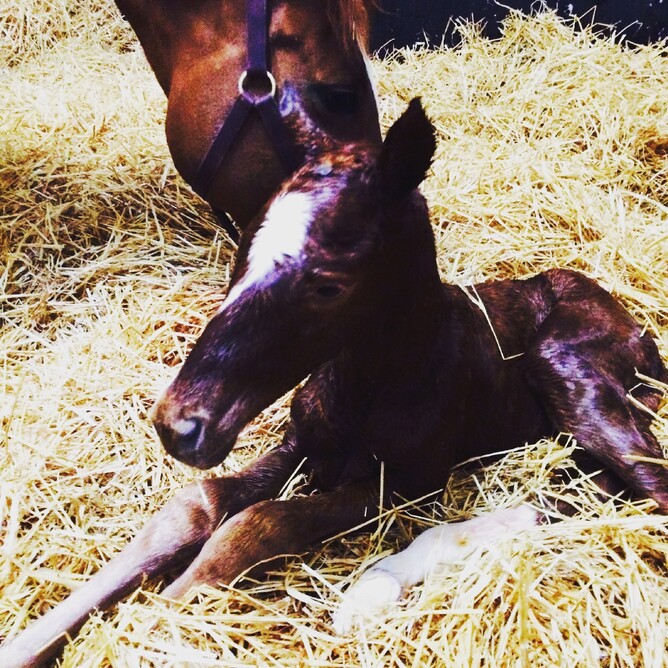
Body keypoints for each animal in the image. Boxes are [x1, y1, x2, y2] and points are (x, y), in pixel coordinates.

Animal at [1, 99, 666, 667]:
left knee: (637, 490)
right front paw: (30, 643)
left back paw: (377, 586)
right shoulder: (304, 445)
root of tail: (640, 333)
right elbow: (197, 506)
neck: (370, 383)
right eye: (240, 253)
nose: (178, 424)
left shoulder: (403, 482)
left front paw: (151, 625)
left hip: (566, 369)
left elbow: (260, 523)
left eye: (328, 285)